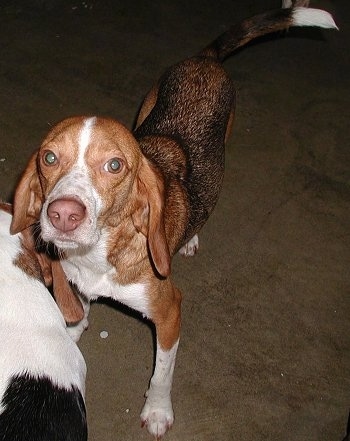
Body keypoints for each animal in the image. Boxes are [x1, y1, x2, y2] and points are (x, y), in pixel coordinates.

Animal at [8, 6, 336, 436]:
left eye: (115, 165)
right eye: (48, 157)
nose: (63, 214)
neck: (102, 254)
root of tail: (205, 58)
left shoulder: (169, 313)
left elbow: (162, 374)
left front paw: (158, 411)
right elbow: (81, 305)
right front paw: (73, 328)